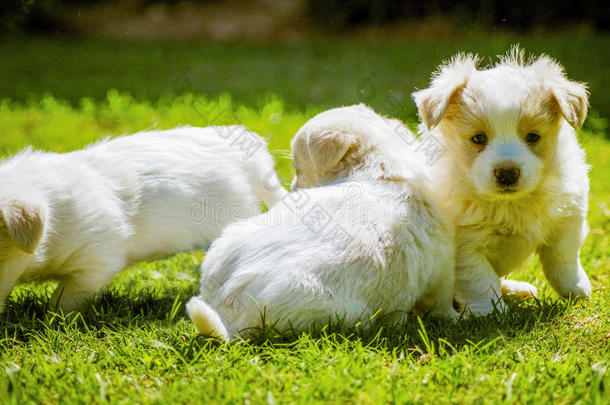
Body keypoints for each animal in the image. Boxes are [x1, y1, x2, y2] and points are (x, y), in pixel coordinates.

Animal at [185, 105, 456, 340]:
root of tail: (229, 300)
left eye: (298, 169)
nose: (292, 192)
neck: (381, 164)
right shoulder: (441, 270)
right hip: (341, 312)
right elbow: (440, 301)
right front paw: (455, 317)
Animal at [410, 45, 592, 314]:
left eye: (532, 137)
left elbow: (563, 258)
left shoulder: (568, 218)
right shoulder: (465, 248)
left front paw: (578, 290)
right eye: (478, 138)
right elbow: (481, 280)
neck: (511, 205)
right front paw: (492, 312)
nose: (507, 173)